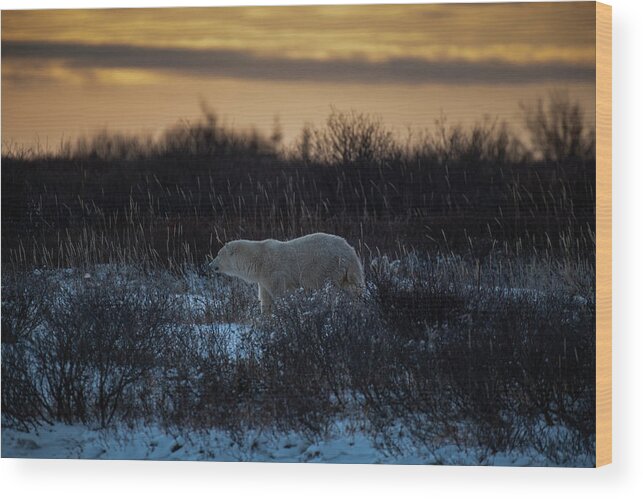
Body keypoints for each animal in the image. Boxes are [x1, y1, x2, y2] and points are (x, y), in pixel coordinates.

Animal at [210, 231, 364, 310]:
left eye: (218, 254)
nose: (210, 265)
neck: (258, 260)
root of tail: (350, 251)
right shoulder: (263, 279)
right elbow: (265, 299)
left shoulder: (274, 273)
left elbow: (280, 294)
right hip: (345, 272)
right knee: (352, 288)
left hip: (329, 267)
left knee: (333, 289)